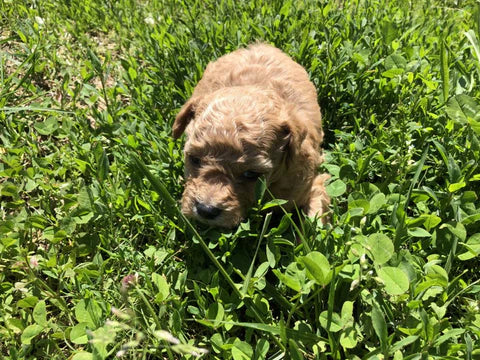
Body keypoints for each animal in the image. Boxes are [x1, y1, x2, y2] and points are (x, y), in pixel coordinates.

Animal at [172, 43, 330, 228]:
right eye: (194, 159)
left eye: (251, 174)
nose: (206, 210)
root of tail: (262, 45)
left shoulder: (308, 184)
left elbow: (313, 219)